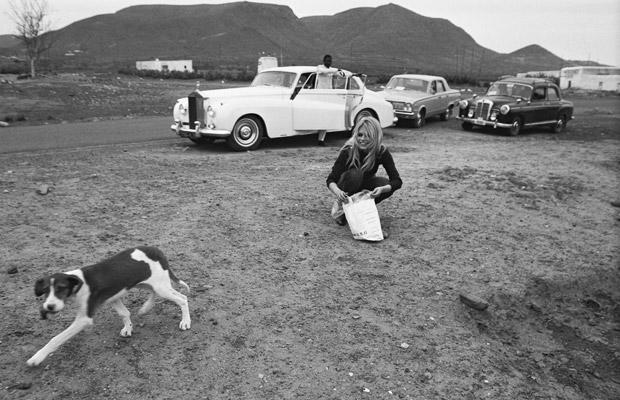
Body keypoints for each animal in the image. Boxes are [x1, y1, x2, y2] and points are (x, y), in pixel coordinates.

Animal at [27, 245, 191, 368]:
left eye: (61, 288)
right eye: (46, 290)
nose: (49, 307)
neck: (78, 282)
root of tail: (156, 250)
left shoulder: (84, 319)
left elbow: (56, 339)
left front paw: (37, 357)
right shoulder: (114, 297)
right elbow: (124, 313)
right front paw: (128, 328)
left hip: (160, 286)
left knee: (182, 299)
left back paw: (185, 322)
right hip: (147, 283)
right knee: (157, 294)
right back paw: (145, 308)